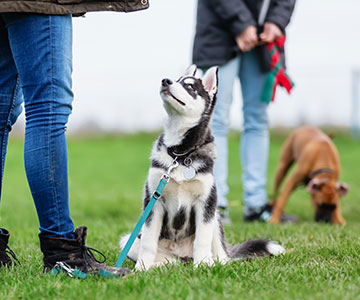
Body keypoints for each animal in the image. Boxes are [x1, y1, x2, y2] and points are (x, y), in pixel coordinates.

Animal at [120, 65, 284, 272]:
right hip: (129, 240)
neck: (180, 155)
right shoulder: (153, 201)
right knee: (167, 258)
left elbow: (202, 240)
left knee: (220, 254)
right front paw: (142, 269)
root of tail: (182, 256)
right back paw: (161, 266)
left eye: (189, 86)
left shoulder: (206, 203)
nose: (165, 81)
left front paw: (203, 266)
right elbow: (149, 241)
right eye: (176, 79)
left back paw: (213, 262)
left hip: (215, 218)